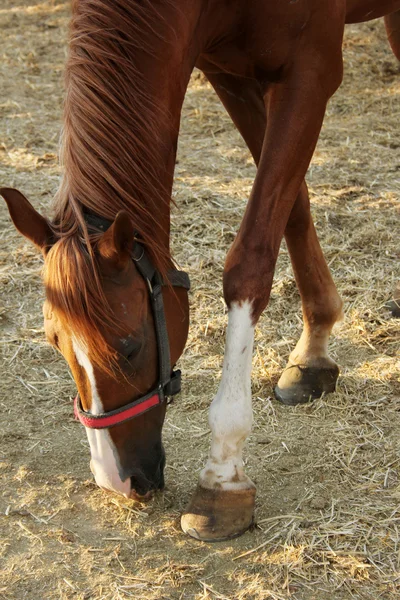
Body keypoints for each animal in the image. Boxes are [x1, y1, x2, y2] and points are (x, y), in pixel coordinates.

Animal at [2, 0, 400, 544]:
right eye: (55, 345)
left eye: (130, 348)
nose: (117, 481)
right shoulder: (231, 75)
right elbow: (293, 208)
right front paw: (314, 350)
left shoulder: (310, 71)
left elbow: (251, 258)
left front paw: (222, 474)